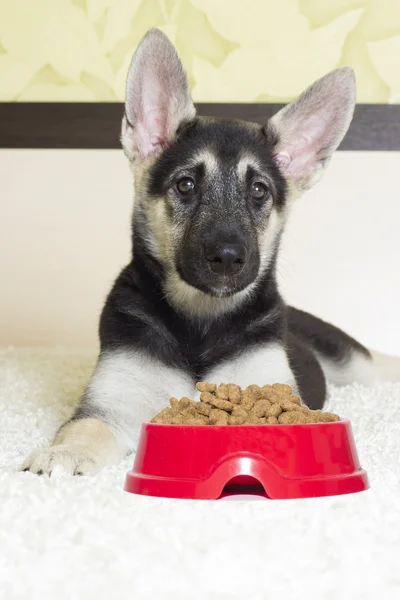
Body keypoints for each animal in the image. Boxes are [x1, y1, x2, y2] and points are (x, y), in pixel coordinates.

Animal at [22, 29, 400, 478]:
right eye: (185, 185)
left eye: (259, 190)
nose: (227, 257)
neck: (201, 321)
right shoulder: (113, 404)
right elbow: (86, 428)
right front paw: (65, 453)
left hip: (353, 360)